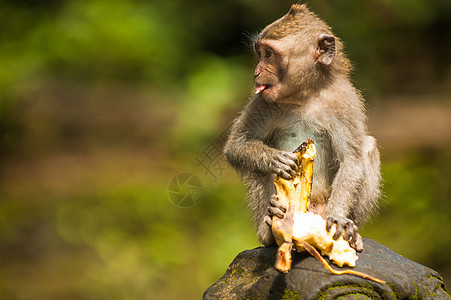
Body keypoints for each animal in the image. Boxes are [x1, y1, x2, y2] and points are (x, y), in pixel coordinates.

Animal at [223, 4, 382, 251]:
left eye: (268, 54)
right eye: (260, 53)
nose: (256, 72)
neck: (305, 95)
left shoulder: (345, 100)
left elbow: (352, 159)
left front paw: (338, 218)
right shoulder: (262, 102)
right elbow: (237, 145)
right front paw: (275, 159)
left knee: (368, 147)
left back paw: (352, 231)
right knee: (256, 169)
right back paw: (268, 228)